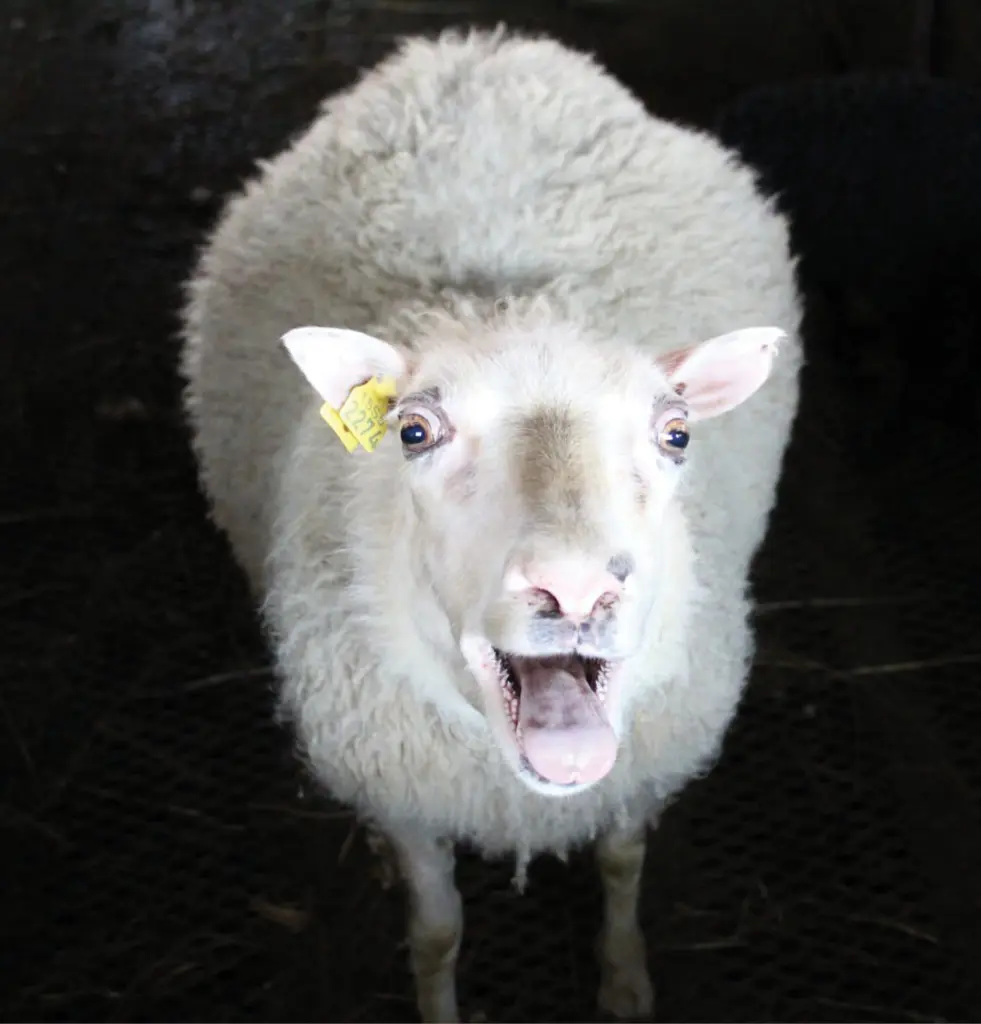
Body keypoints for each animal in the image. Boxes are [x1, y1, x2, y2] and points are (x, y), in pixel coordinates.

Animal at [179, 26, 803, 1023]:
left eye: (675, 433)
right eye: (413, 431)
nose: (575, 587)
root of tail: (484, 50)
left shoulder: (639, 768)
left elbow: (621, 860)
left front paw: (623, 979)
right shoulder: (407, 793)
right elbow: (437, 933)